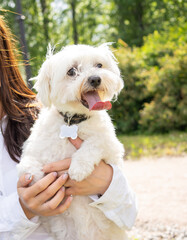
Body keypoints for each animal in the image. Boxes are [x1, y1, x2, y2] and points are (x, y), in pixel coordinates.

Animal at [17, 44, 128, 239]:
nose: (95, 79)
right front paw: (36, 177)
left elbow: (93, 144)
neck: (73, 120)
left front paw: (78, 168)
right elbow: (26, 165)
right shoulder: (34, 149)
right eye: (71, 71)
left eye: (99, 65)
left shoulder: (111, 145)